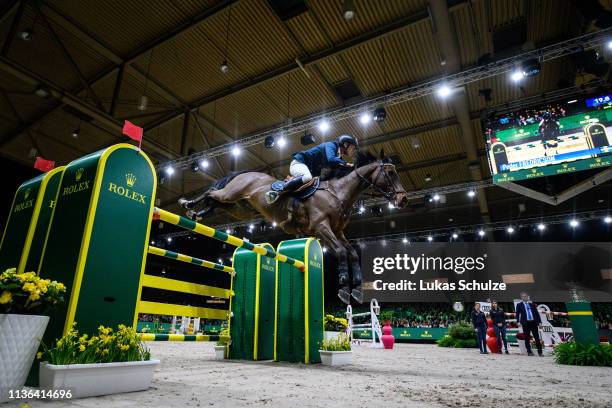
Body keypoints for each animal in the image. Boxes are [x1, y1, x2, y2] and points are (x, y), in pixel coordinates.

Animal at [178, 150, 406, 302]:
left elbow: (352, 254)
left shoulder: (337, 232)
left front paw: (357, 290)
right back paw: (186, 204)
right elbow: (342, 252)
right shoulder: (322, 227)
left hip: (234, 204)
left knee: (214, 201)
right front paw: (342, 288)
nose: (403, 199)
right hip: (232, 194)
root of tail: (247, 173)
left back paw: (196, 213)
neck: (338, 193)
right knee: (211, 193)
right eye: (390, 173)